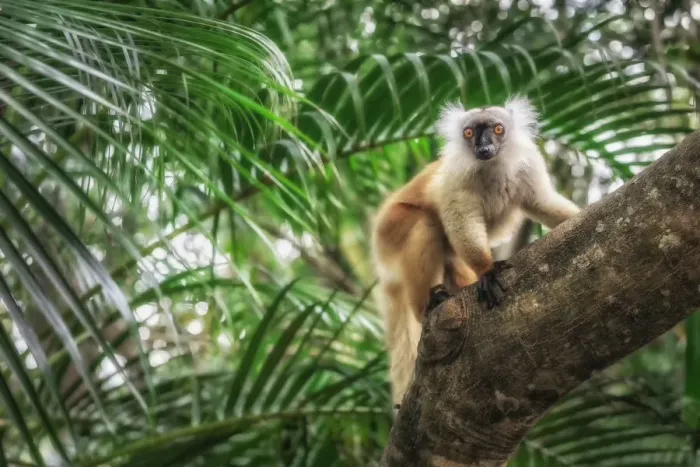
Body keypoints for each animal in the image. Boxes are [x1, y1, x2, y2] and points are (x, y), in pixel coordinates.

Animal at [370, 96, 580, 405]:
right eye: (470, 133)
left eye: (498, 129)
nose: (484, 147)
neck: (492, 167)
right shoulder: (457, 176)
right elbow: (461, 219)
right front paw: (487, 270)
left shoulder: (528, 165)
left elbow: (541, 203)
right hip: (390, 231)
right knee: (426, 224)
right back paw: (426, 305)